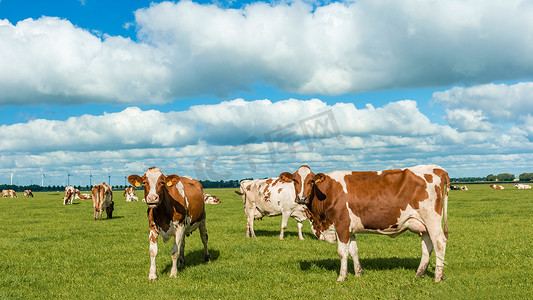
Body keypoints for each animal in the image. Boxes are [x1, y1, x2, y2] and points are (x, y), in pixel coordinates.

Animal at [278, 165, 448, 282]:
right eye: (295, 180)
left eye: (311, 181)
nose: (302, 199)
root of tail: (438, 169)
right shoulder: (350, 229)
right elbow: (353, 251)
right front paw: (358, 274)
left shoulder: (342, 225)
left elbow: (342, 252)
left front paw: (342, 277)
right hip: (422, 225)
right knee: (427, 247)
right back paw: (419, 274)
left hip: (432, 220)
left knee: (439, 243)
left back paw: (437, 276)